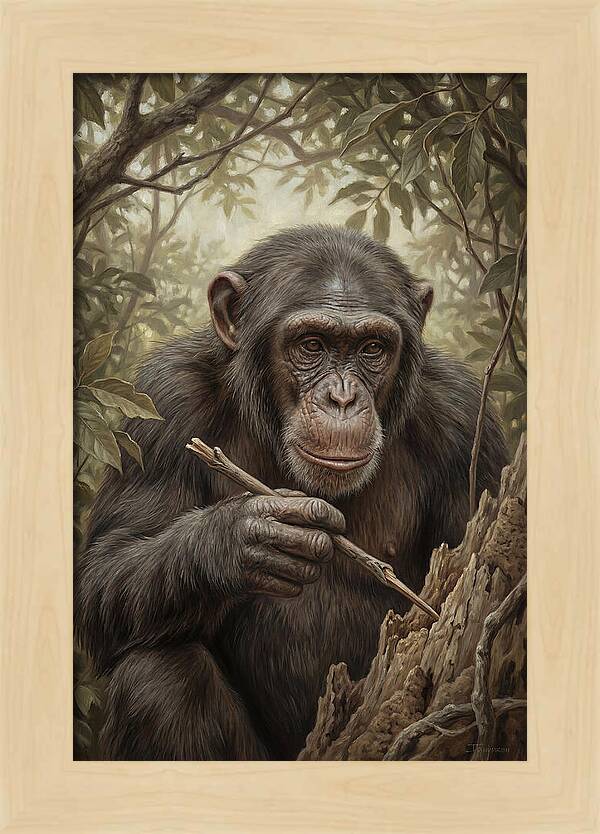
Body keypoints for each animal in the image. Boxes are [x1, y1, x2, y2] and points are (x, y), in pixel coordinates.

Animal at [75, 224, 508, 760]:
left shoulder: (466, 423)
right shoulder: (163, 401)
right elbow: (105, 569)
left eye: (372, 349)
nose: (342, 398)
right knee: (157, 676)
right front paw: (244, 539)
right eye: (311, 344)